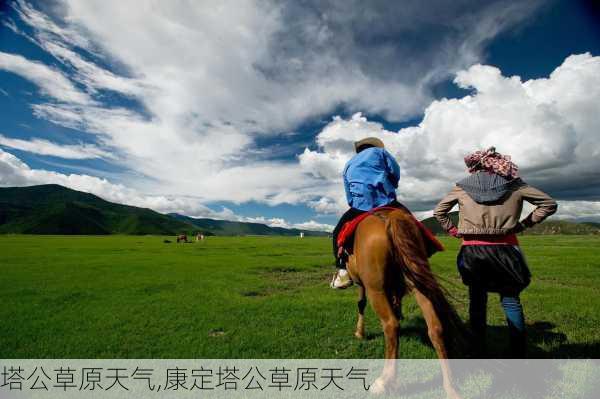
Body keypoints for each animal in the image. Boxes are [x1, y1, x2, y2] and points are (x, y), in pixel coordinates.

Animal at [346, 209, 464, 396]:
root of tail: (390, 215)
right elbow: (395, 301)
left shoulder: (362, 284)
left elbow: (361, 303)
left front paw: (359, 333)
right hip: (416, 279)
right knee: (435, 326)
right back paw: (451, 388)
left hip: (375, 288)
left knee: (391, 325)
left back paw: (384, 381)